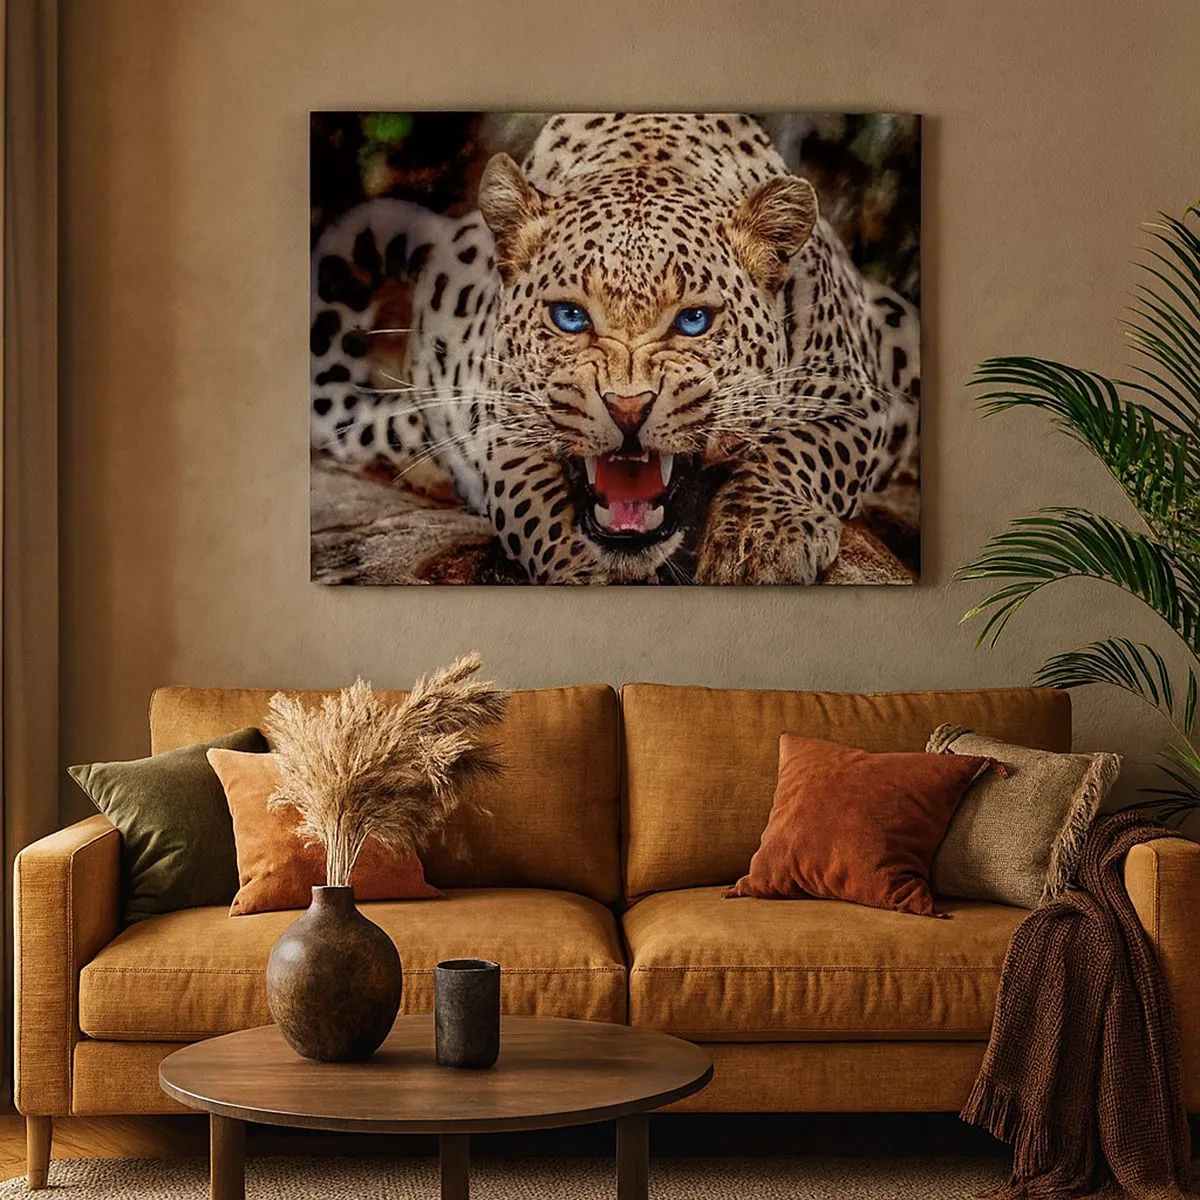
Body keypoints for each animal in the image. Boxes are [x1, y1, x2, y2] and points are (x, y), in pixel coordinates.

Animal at [310, 112, 920, 585]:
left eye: (693, 320)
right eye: (569, 317)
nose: (628, 408)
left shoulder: (852, 393)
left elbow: (796, 449)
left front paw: (761, 542)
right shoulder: (503, 420)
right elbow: (536, 502)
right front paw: (588, 570)